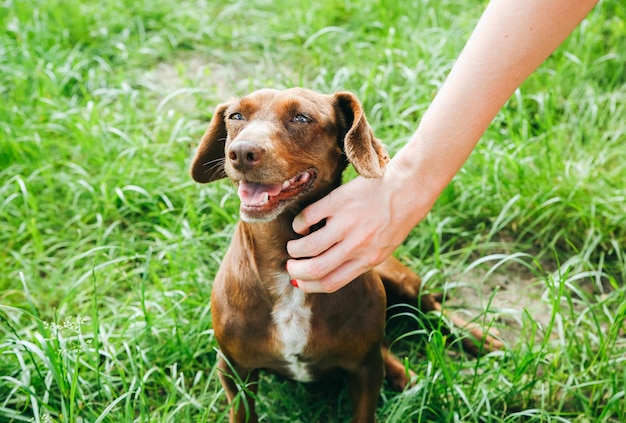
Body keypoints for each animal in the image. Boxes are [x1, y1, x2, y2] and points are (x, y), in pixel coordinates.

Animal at [190, 88, 502, 422]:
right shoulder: (234, 371)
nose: (241, 152)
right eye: (235, 116)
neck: (284, 265)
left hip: (398, 279)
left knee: (431, 309)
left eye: (302, 118)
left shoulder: (365, 372)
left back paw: (481, 339)